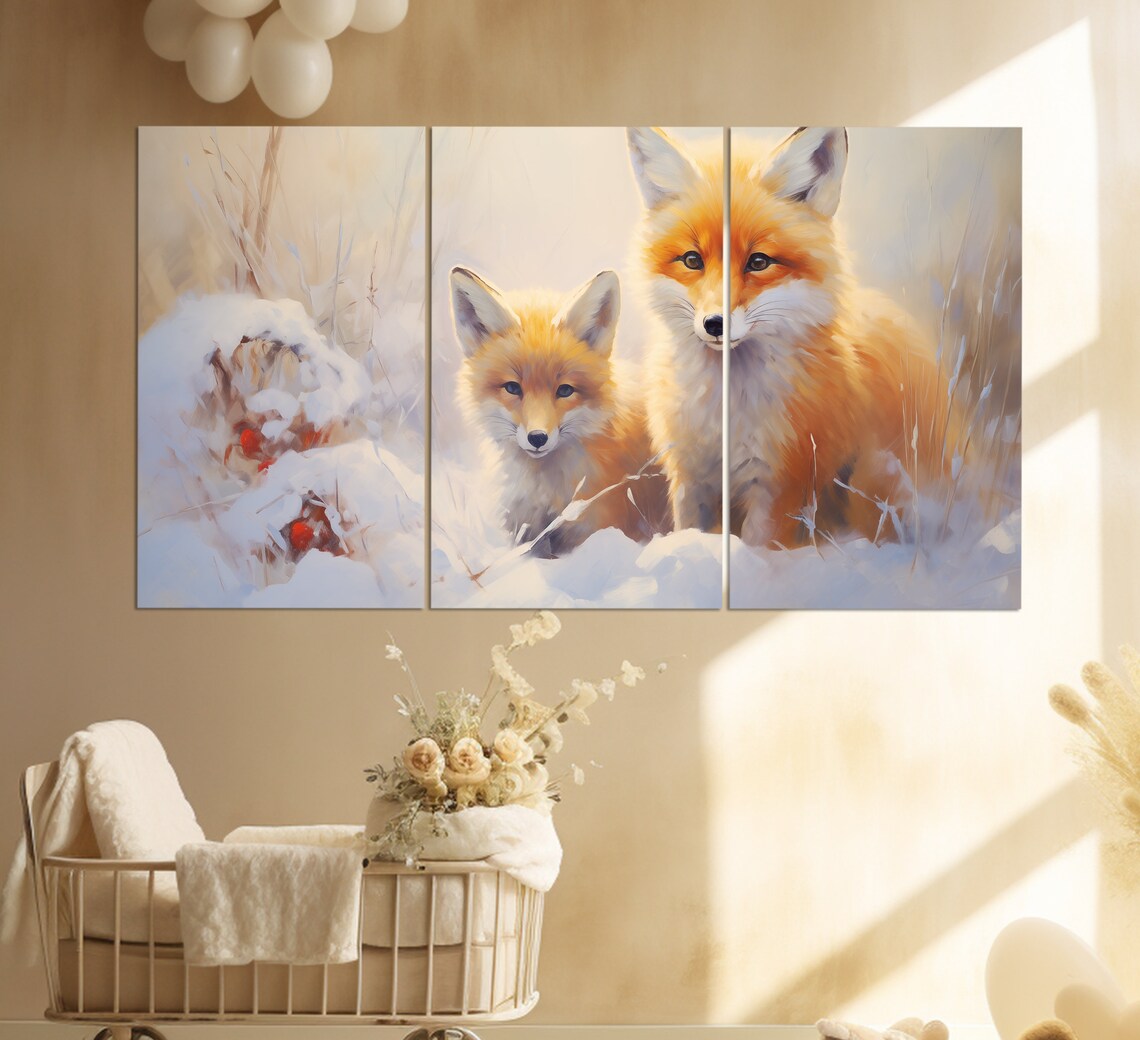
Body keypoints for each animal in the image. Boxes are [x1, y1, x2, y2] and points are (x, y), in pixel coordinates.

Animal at [627, 126, 960, 549]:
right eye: (691, 260)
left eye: (758, 262)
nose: (714, 324)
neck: (726, 413)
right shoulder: (690, 477)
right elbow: (692, 532)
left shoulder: (781, 481)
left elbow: (758, 549)